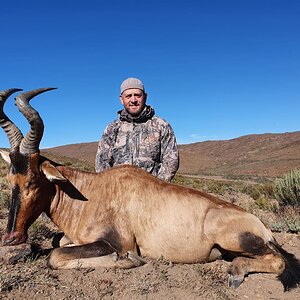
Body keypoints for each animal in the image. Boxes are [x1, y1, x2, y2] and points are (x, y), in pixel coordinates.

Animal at [0, 87, 300, 290]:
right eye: (10, 179)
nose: (11, 238)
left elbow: (56, 255)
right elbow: (59, 242)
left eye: (33, 181)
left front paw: (129, 261)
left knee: (279, 261)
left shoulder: (116, 242)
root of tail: (261, 225)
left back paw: (236, 273)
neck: (92, 192)